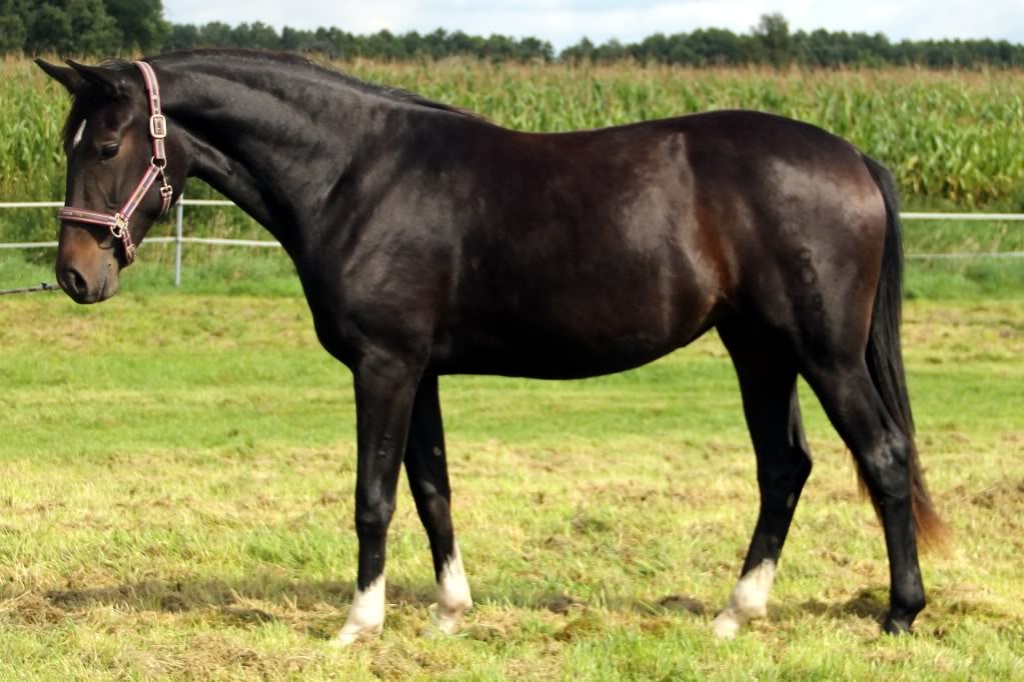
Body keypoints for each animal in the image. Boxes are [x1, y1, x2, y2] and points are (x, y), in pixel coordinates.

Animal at [36, 49, 944, 643]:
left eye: (108, 145)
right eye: (68, 143)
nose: (75, 274)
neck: (357, 173)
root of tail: (852, 157)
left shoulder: (385, 366)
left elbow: (374, 495)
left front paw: (359, 623)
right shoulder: (421, 370)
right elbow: (432, 487)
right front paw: (448, 612)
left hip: (823, 354)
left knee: (883, 454)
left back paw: (900, 613)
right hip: (759, 349)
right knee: (784, 467)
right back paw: (735, 613)